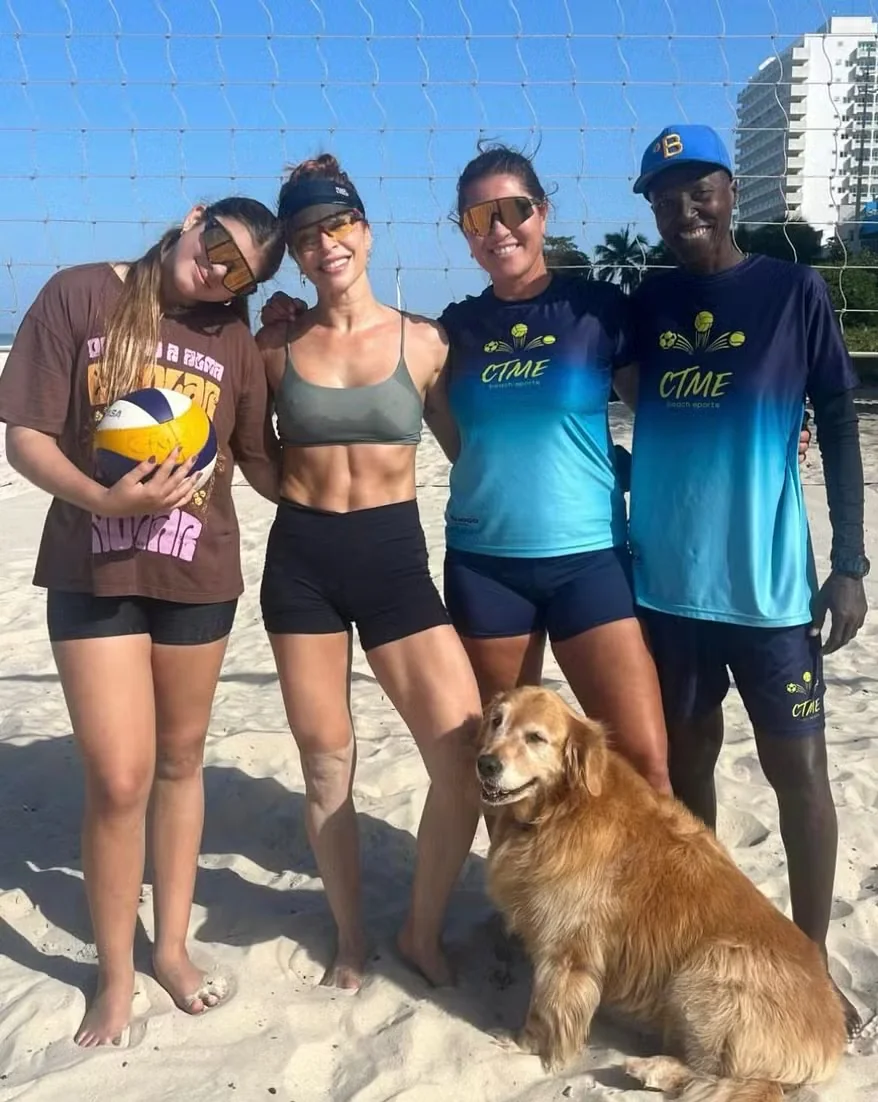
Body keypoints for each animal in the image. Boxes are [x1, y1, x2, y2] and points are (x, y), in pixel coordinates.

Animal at [476, 686, 846, 1101]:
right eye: (496, 721)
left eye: (536, 738)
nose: (485, 764)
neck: (561, 809)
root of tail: (834, 1039)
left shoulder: (565, 950)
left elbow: (544, 1008)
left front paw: (525, 1043)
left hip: (708, 970)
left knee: (731, 1082)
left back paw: (651, 1068)